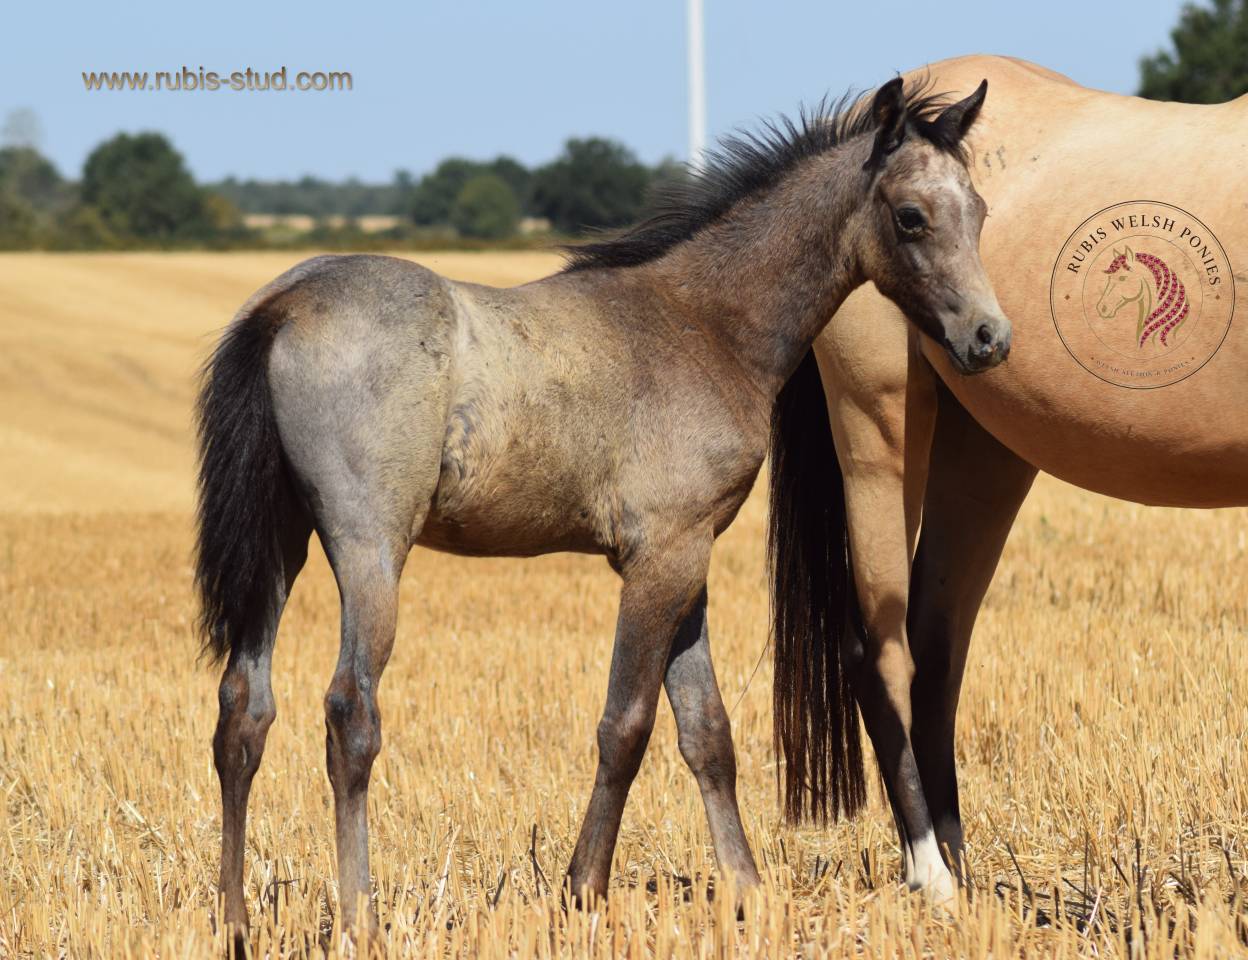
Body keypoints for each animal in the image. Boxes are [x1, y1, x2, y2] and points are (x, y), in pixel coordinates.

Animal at [194, 77, 1003, 940]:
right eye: (911, 216)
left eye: (980, 211)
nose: (991, 338)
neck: (703, 324)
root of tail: (286, 303)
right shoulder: (658, 560)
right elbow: (628, 725)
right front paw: (582, 889)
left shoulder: (688, 560)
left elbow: (707, 731)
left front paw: (748, 895)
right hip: (368, 548)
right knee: (350, 710)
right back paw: (360, 919)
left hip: (281, 544)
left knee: (243, 709)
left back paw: (234, 919)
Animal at [768, 54, 1248, 906]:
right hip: (878, 427)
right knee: (879, 645)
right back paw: (930, 872)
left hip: (983, 452)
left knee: (936, 645)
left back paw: (957, 863)